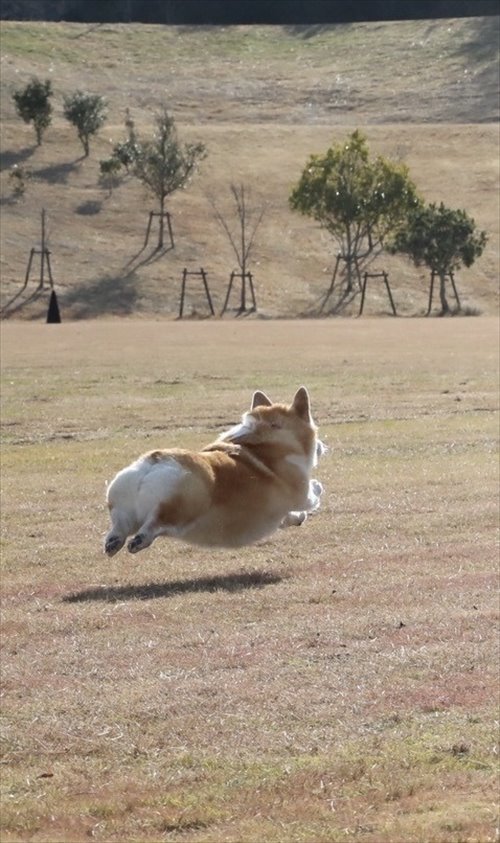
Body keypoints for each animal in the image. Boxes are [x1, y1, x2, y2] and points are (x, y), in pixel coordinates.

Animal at [105, 386, 324, 556]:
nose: (323, 446)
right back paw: (139, 540)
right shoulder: (301, 495)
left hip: (122, 501)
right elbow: (313, 494)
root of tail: (154, 462)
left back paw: (113, 542)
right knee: (155, 523)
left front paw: (298, 519)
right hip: (185, 503)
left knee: (120, 526)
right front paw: (317, 487)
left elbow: (290, 516)